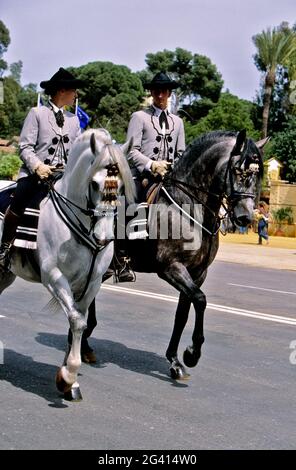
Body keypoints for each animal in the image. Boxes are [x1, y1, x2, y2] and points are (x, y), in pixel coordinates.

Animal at [0, 129, 134, 400]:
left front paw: (69, 383)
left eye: (121, 186)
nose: (104, 238)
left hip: (6, 273)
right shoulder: (53, 276)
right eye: (94, 183)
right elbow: (77, 321)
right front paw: (68, 376)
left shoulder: (92, 283)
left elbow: (79, 322)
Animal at [84, 130, 268, 380]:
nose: (245, 218)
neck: (190, 208)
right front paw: (192, 353)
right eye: (238, 170)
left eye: (257, 174)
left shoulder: (198, 273)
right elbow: (200, 300)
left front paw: (175, 361)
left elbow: (182, 314)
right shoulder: (171, 268)